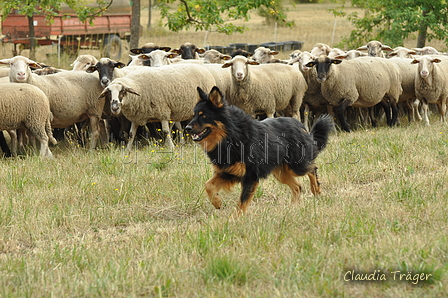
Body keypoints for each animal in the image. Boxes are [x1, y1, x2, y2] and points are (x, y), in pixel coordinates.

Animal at [184, 86, 334, 214]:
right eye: (194, 114)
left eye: (203, 115)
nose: (187, 128)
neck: (230, 135)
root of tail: (300, 125)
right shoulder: (228, 172)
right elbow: (208, 185)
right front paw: (217, 202)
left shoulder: (250, 176)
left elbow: (242, 202)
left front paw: (234, 219)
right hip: (280, 172)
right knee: (298, 186)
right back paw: (293, 207)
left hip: (296, 166)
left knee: (312, 169)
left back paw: (316, 190)